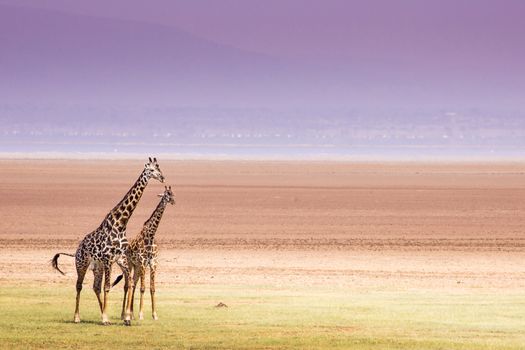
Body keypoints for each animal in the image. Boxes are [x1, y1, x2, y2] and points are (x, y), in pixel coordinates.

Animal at [51, 157, 163, 326]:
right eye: (151, 170)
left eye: (159, 168)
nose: (162, 177)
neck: (121, 223)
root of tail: (77, 250)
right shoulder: (108, 258)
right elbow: (108, 287)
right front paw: (106, 318)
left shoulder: (120, 259)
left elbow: (128, 283)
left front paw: (126, 318)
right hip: (82, 263)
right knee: (79, 286)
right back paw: (78, 317)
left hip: (97, 266)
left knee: (96, 287)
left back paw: (102, 313)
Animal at [112, 186, 174, 320]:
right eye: (166, 194)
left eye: (173, 193)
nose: (173, 201)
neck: (151, 235)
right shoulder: (143, 262)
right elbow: (142, 288)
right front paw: (141, 314)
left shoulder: (153, 263)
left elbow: (152, 288)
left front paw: (154, 315)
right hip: (130, 265)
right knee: (127, 286)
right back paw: (124, 314)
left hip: (137, 267)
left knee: (133, 284)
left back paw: (131, 314)